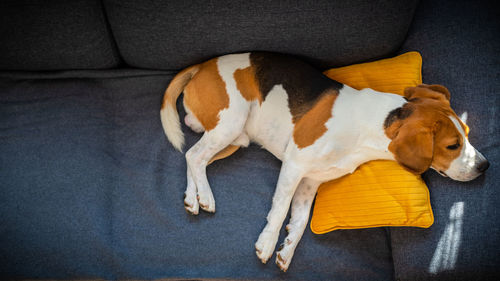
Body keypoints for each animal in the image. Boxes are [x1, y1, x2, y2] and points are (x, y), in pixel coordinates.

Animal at [160, 51, 488, 270]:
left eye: (467, 134)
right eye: (452, 145)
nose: (484, 166)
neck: (370, 125)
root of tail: (204, 64)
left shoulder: (310, 181)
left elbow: (301, 220)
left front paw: (287, 250)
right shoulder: (294, 166)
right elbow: (280, 211)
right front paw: (267, 244)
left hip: (234, 138)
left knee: (194, 158)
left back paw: (194, 197)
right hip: (231, 123)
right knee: (194, 155)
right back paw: (206, 197)